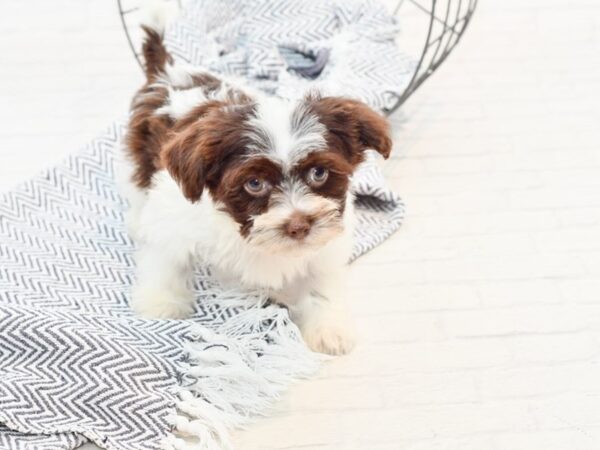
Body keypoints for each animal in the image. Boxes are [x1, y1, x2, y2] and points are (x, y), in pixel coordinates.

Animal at [120, 23, 394, 356]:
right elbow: (167, 258)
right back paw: (137, 222)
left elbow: (321, 281)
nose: (299, 225)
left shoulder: (327, 246)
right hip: (137, 156)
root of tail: (169, 71)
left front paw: (328, 328)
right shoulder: (174, 216)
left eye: (318, 173)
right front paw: (162, 303)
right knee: (137, 186)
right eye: (254, 184)